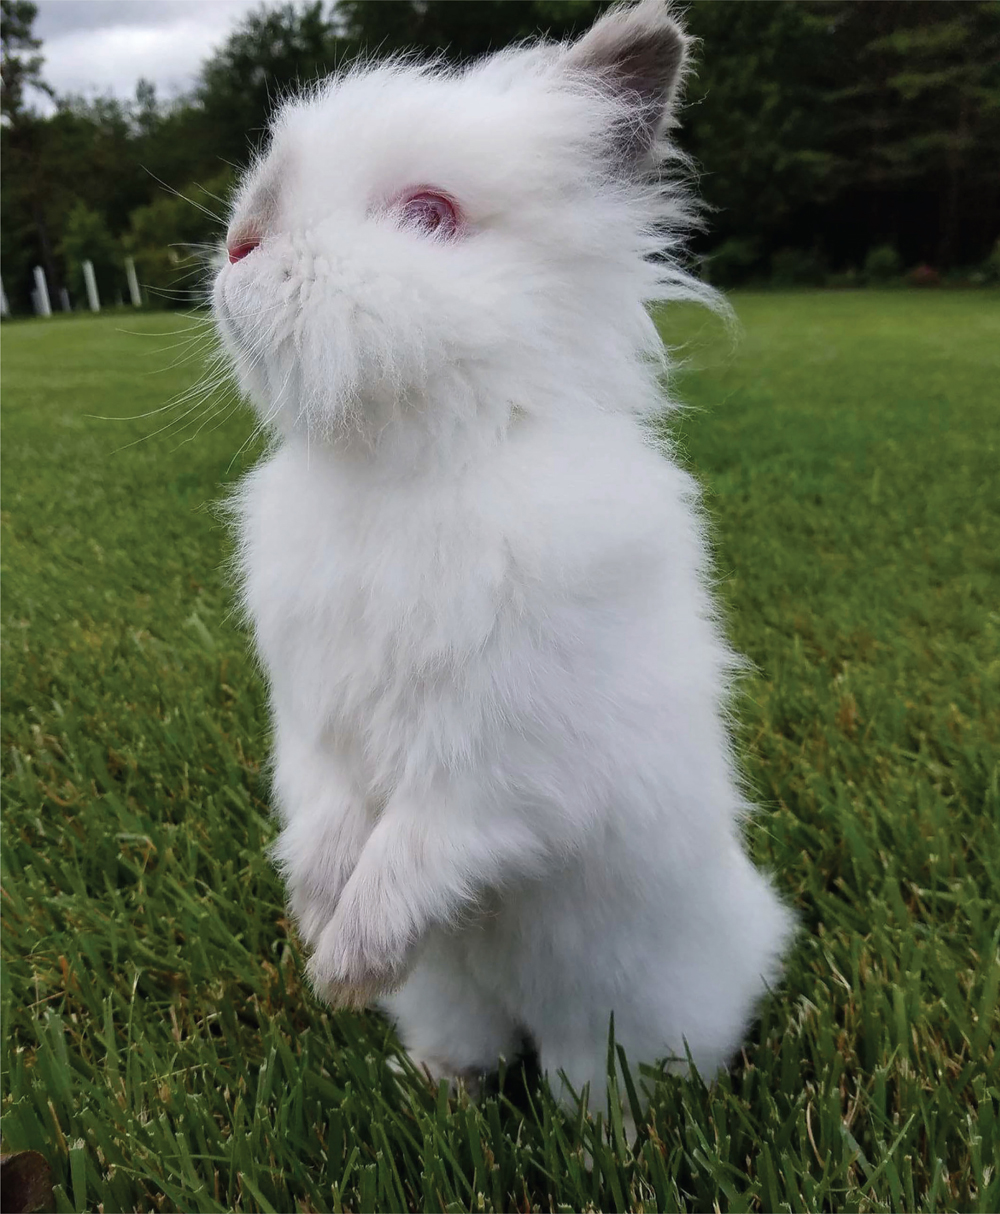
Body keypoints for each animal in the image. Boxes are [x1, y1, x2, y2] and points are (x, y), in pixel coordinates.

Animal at [214, 0, 791, 1116]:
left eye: (431, 214)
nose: (238, 242)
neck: (401, 466)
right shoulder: (308, 718)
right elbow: (322, 810)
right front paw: (317, 921)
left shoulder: (505, 762)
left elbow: (421, 842)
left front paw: (346, 960)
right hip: (454, 997)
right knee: (472, 1043)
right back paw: (430, 1082)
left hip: (618, 1013)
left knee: (598, 1077)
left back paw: (601, 1133)